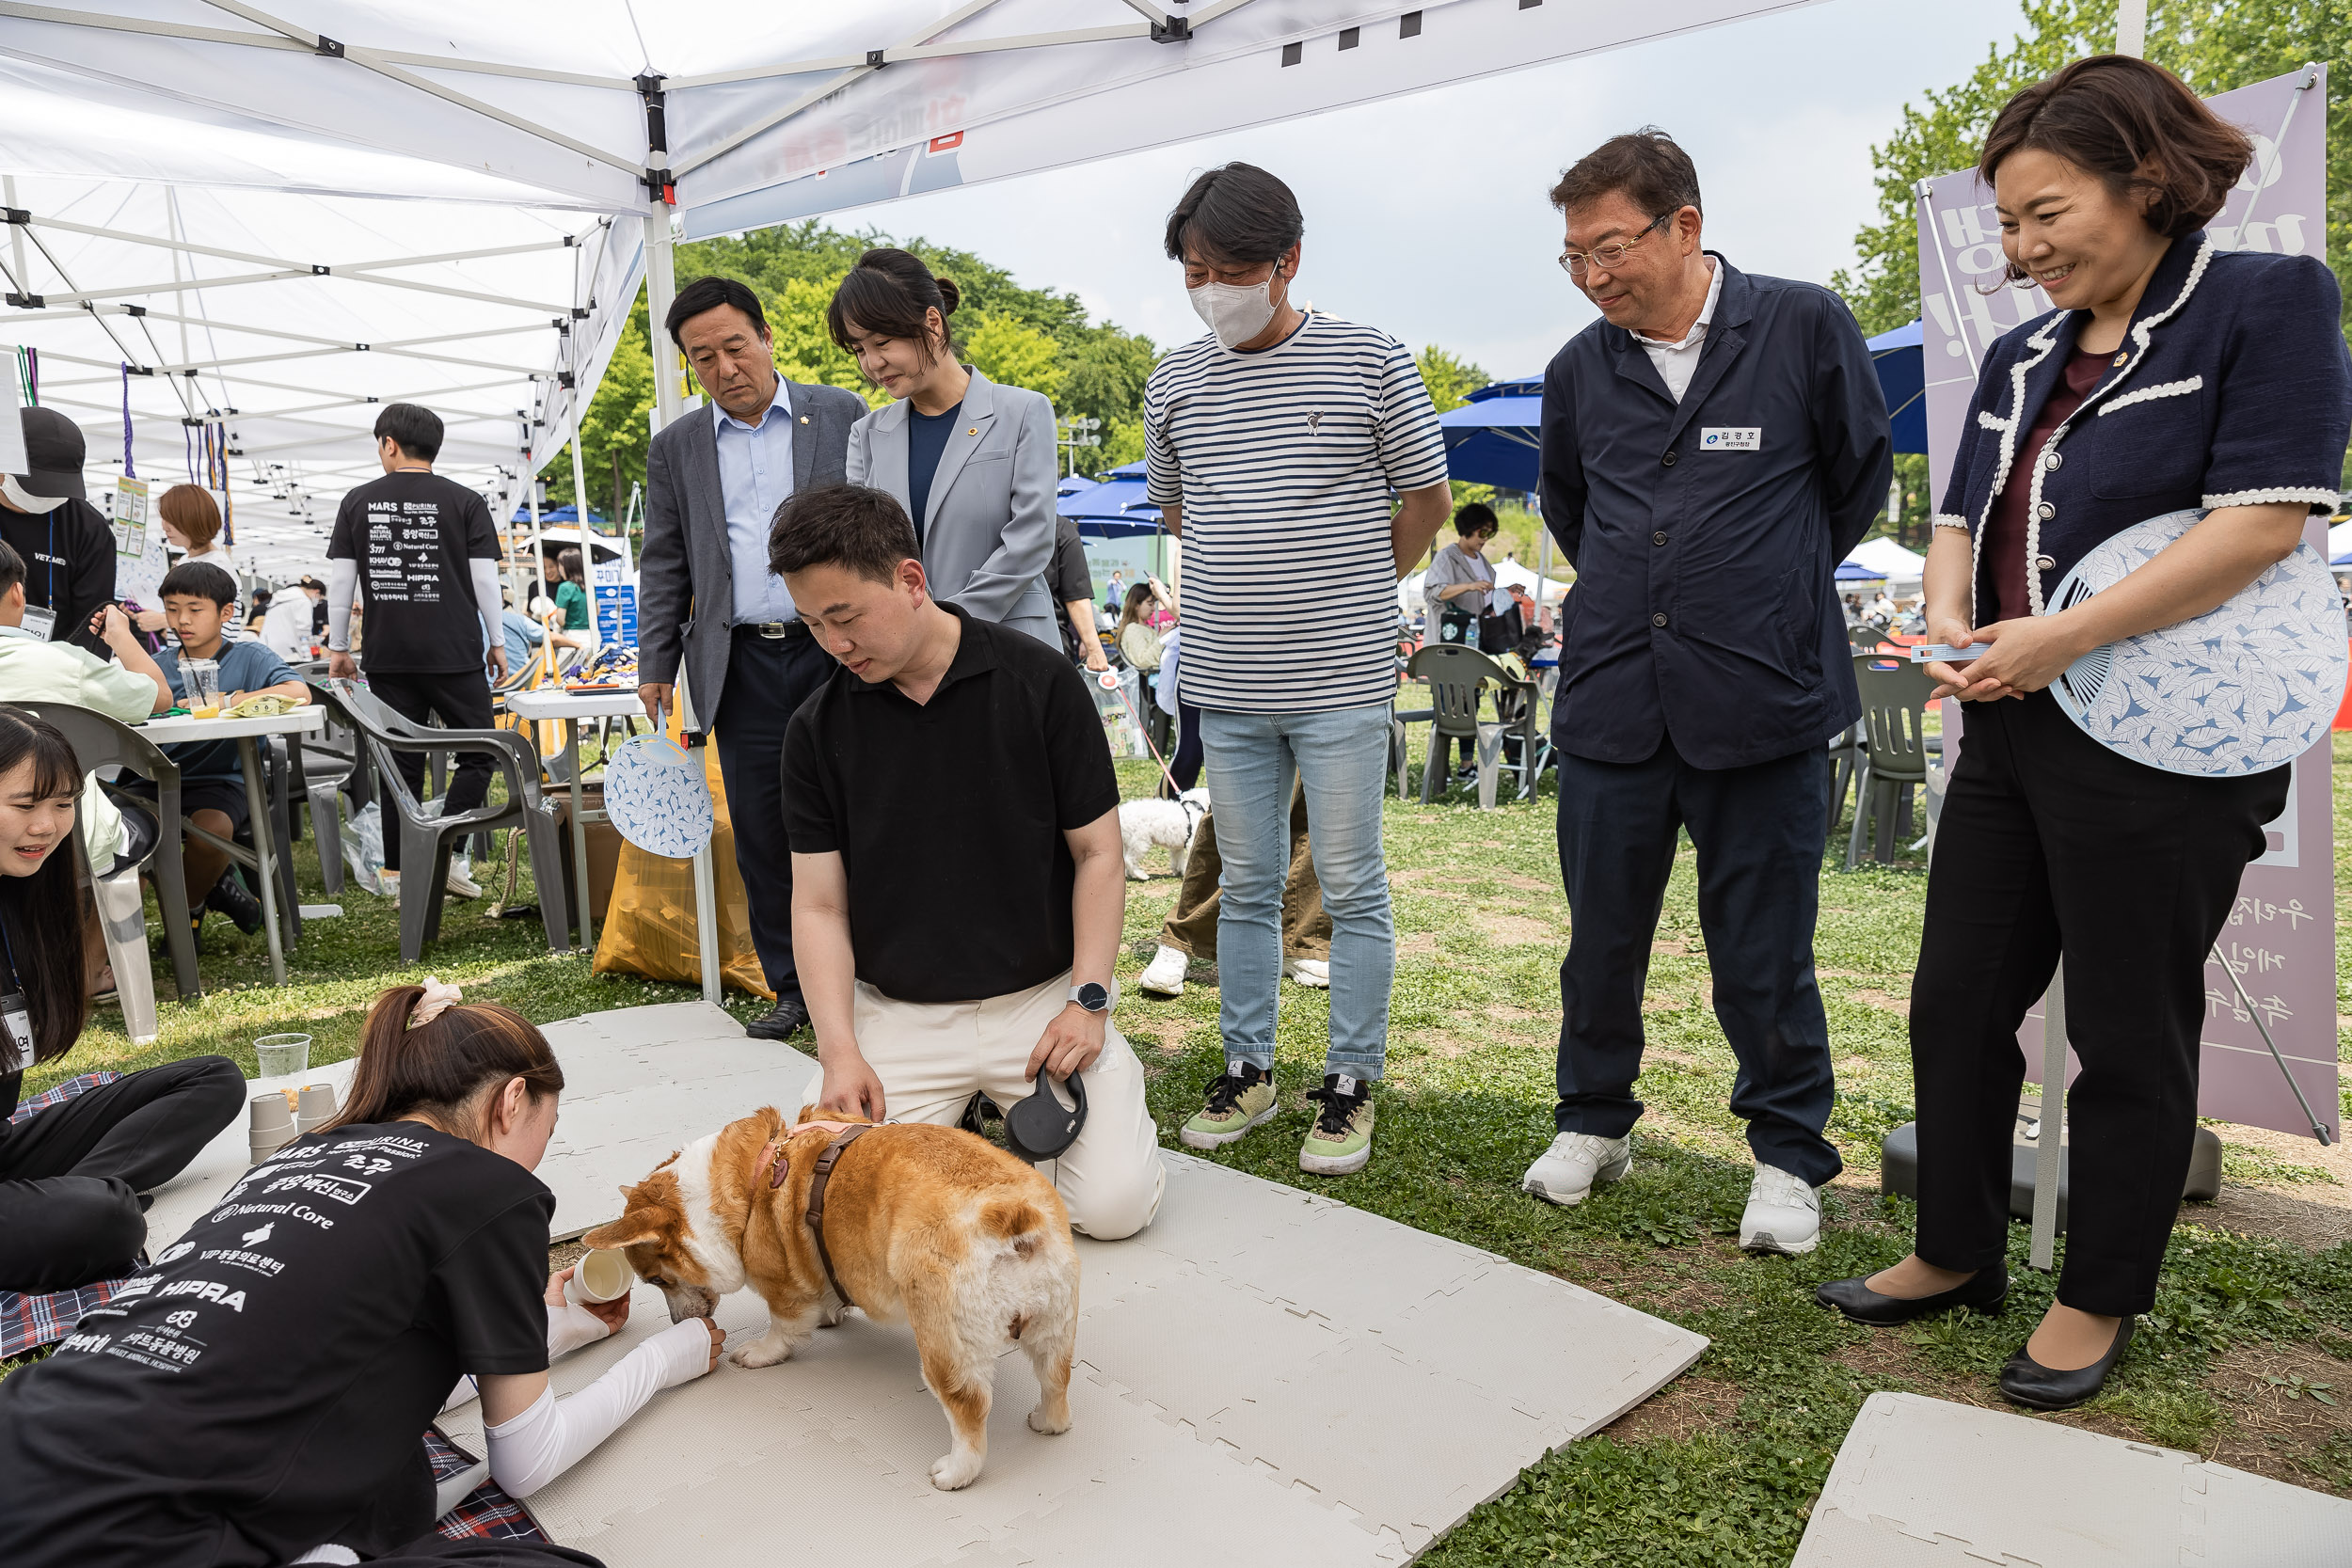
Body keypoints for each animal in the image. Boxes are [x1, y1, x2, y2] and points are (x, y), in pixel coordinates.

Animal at [583, 1109, 1077, 1495]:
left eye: (654, 1280)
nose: (673, 1323)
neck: (753, 1177)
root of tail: (1013, 1216)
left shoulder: (782, 1289)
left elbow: (781, 1328)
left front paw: (759, 1353)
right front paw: (831, 1314)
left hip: (946, 1347)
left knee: (969, 1409)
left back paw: (955, 1473)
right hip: (1055, 1328)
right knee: (1056, 1379)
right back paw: (1046, 1421)